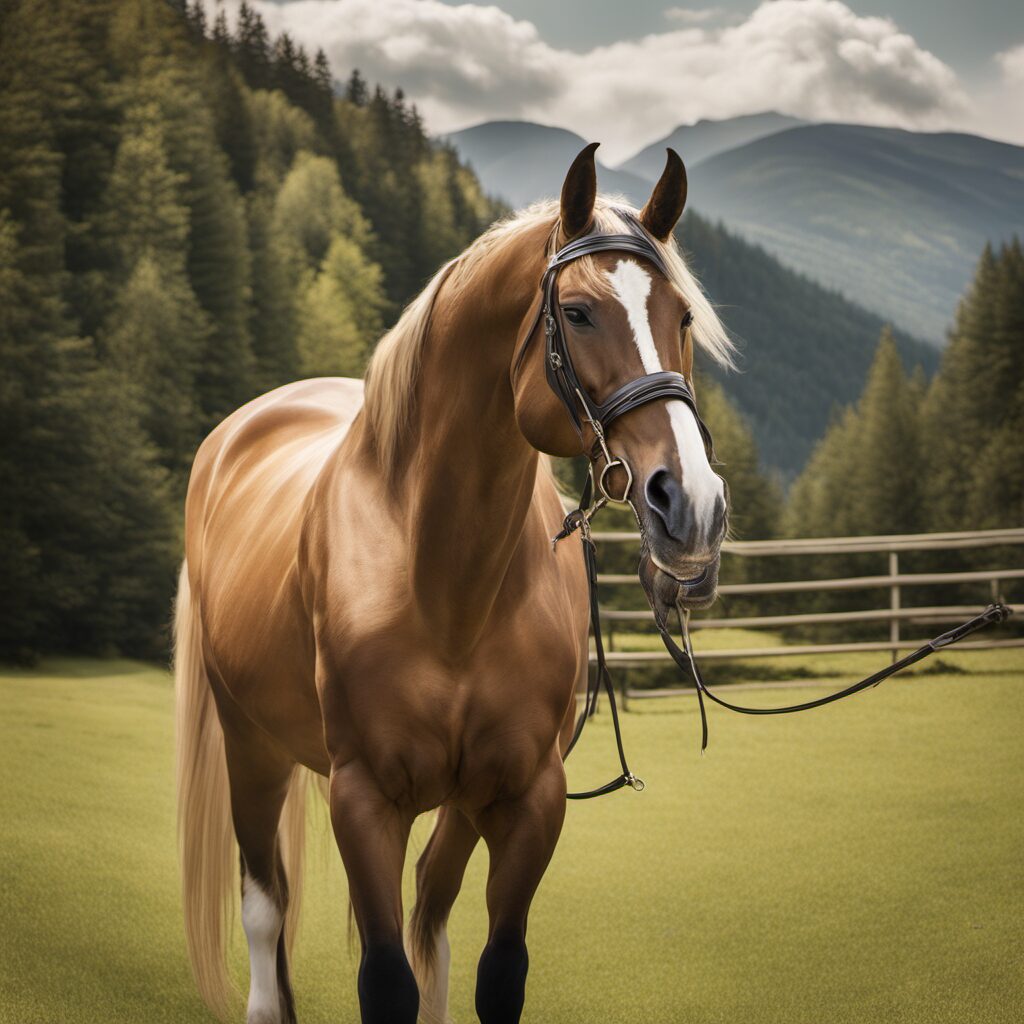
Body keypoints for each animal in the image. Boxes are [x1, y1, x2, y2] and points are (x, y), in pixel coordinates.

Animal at [174, 143, 733, 1024]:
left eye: (680, 315)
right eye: (579, 313)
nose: (693, 504)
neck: (444, 584)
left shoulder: (526, 798)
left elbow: (491, 969)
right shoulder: (363, 799)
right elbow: (385, 981)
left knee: (428, 908)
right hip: (249, 744)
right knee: (266, 903)